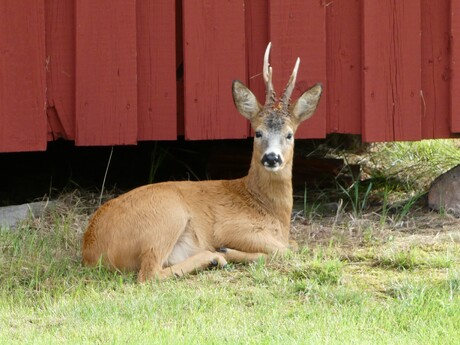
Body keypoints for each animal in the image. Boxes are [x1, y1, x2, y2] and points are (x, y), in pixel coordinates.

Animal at [82, 42, 320, 280]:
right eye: (258, 133)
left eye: (289, 135)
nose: (272, 157)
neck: (270, 210)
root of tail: (90, 251)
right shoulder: (230, 227)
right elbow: (286, 251)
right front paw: (227, 250)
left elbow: (293, 246)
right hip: (166, 216)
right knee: (150, 273)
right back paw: (214, 258)